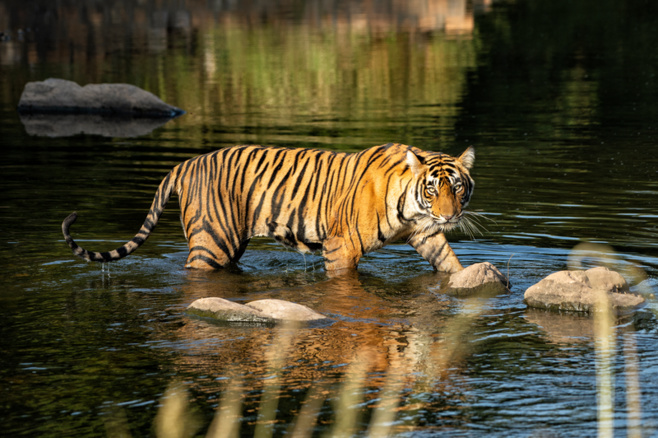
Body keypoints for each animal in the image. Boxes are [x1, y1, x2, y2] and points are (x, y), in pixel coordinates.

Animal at [61, 143, 474, 274]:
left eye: (457, 188)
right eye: (433, 189)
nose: (449, 215)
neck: (413, 206)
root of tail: (186, 164)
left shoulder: (425, 234)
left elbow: (448, 261)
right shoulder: (341, 247)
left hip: (229, 245)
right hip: (212, 244)